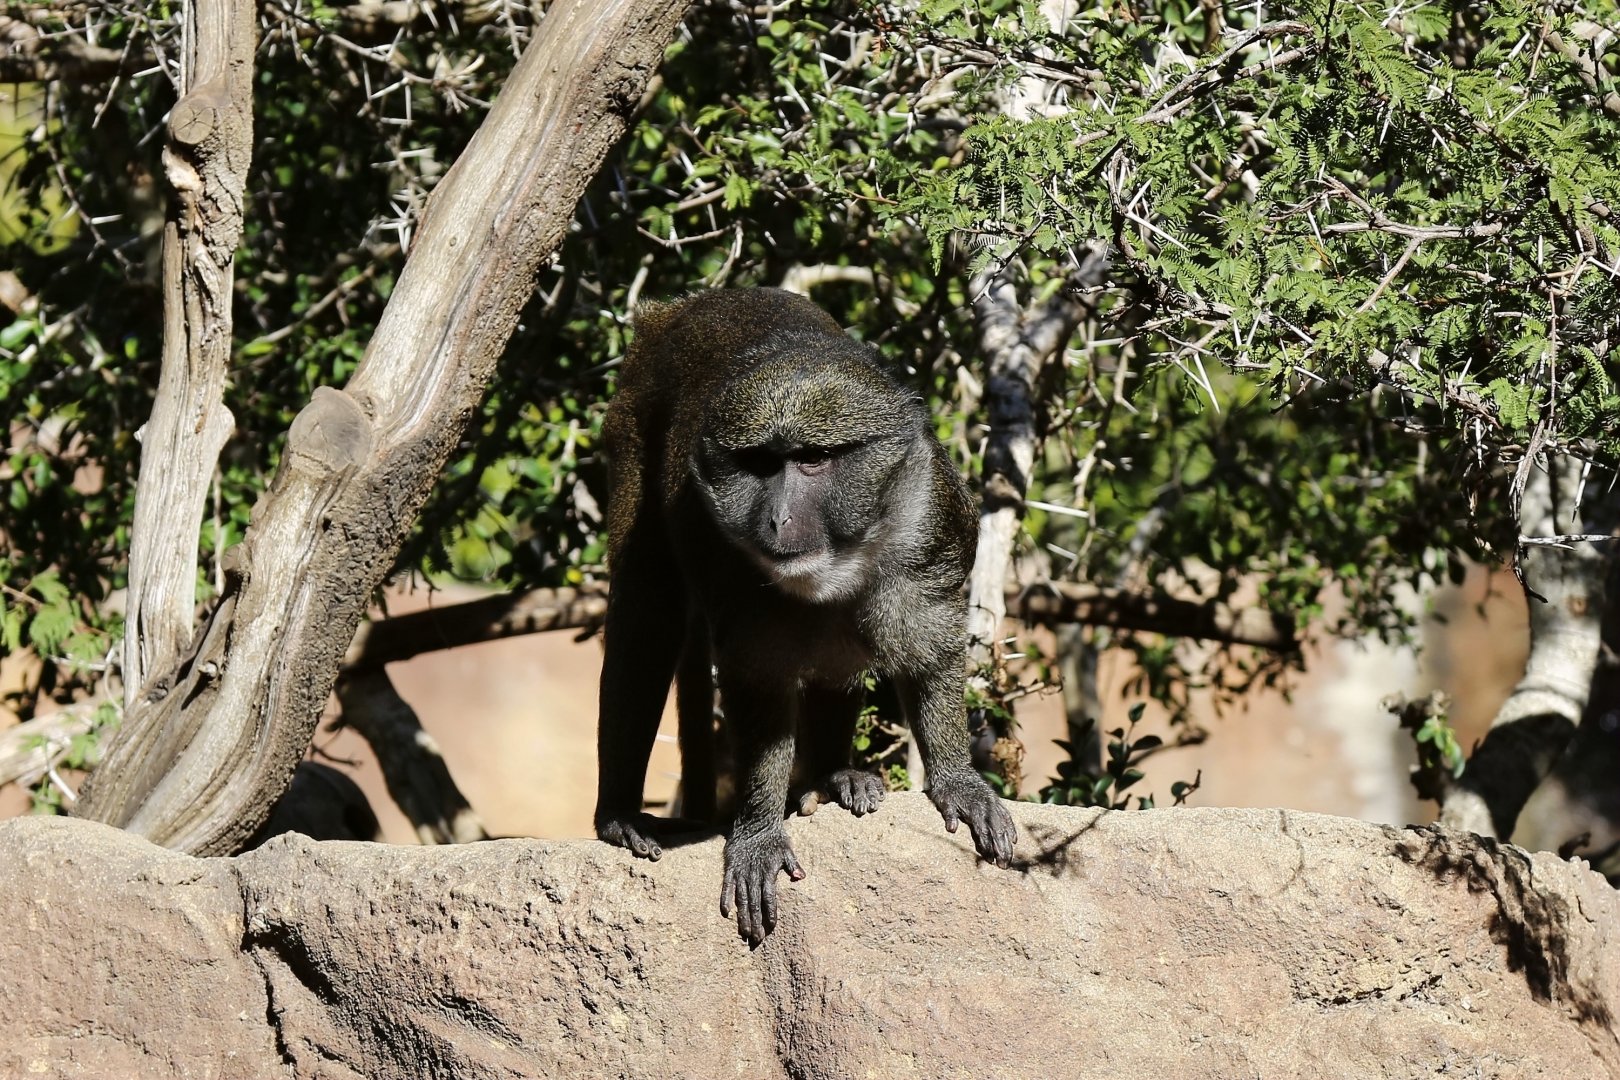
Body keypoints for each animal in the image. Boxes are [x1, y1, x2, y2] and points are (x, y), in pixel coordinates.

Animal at [594, 287, 1017, 944]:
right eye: (763, 465)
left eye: (813, 460)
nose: (777, 519)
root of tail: (671, 313)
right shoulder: (724, 558)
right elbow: (758, 686)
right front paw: (759, 830)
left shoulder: (933, 523)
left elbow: (929, 653)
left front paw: (957, 780)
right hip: (630, 430)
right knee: (646, 615)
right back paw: (618, 813)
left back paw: (833, 777)